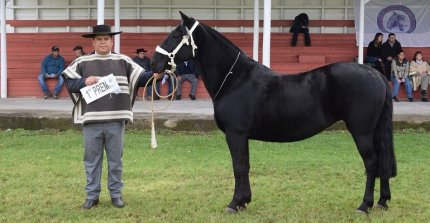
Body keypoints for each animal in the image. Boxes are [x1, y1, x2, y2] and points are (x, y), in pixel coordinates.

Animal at [151, 12, 396, 214]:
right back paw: (382, 201)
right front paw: (244, 201)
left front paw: (234, 203)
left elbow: (238, 167)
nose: (154, 62)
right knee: (382, 160)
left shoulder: (235, 134)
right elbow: (246, 166)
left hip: (361, 132)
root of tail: (376, 74)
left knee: (372, 163)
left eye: (176, 35)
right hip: (374, 131)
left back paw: (364, 205)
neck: (234, 79)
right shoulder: (242, 136)